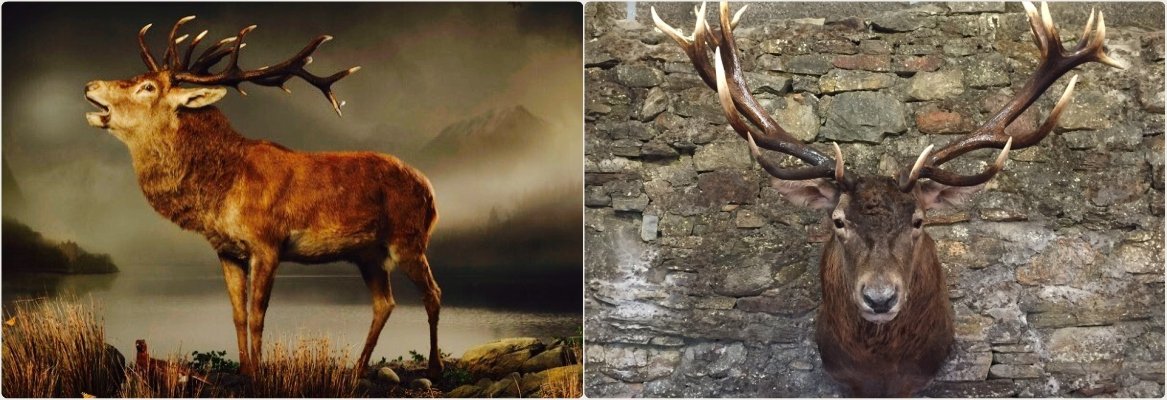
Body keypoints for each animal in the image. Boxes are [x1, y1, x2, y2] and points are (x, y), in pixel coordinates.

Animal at [84, 17, 444, 379]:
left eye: (147, 87)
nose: (89, 85)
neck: (220, 193)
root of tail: (431, 191)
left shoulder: (268, 243)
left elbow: (258, 315)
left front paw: (258, 373)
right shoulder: (227, 250)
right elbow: (238, 314)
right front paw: (245, 370)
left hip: (409, 239)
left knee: (433, 294)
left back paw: (434, 368)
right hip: (368, 253)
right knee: (385, 303)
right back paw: (358, 368)